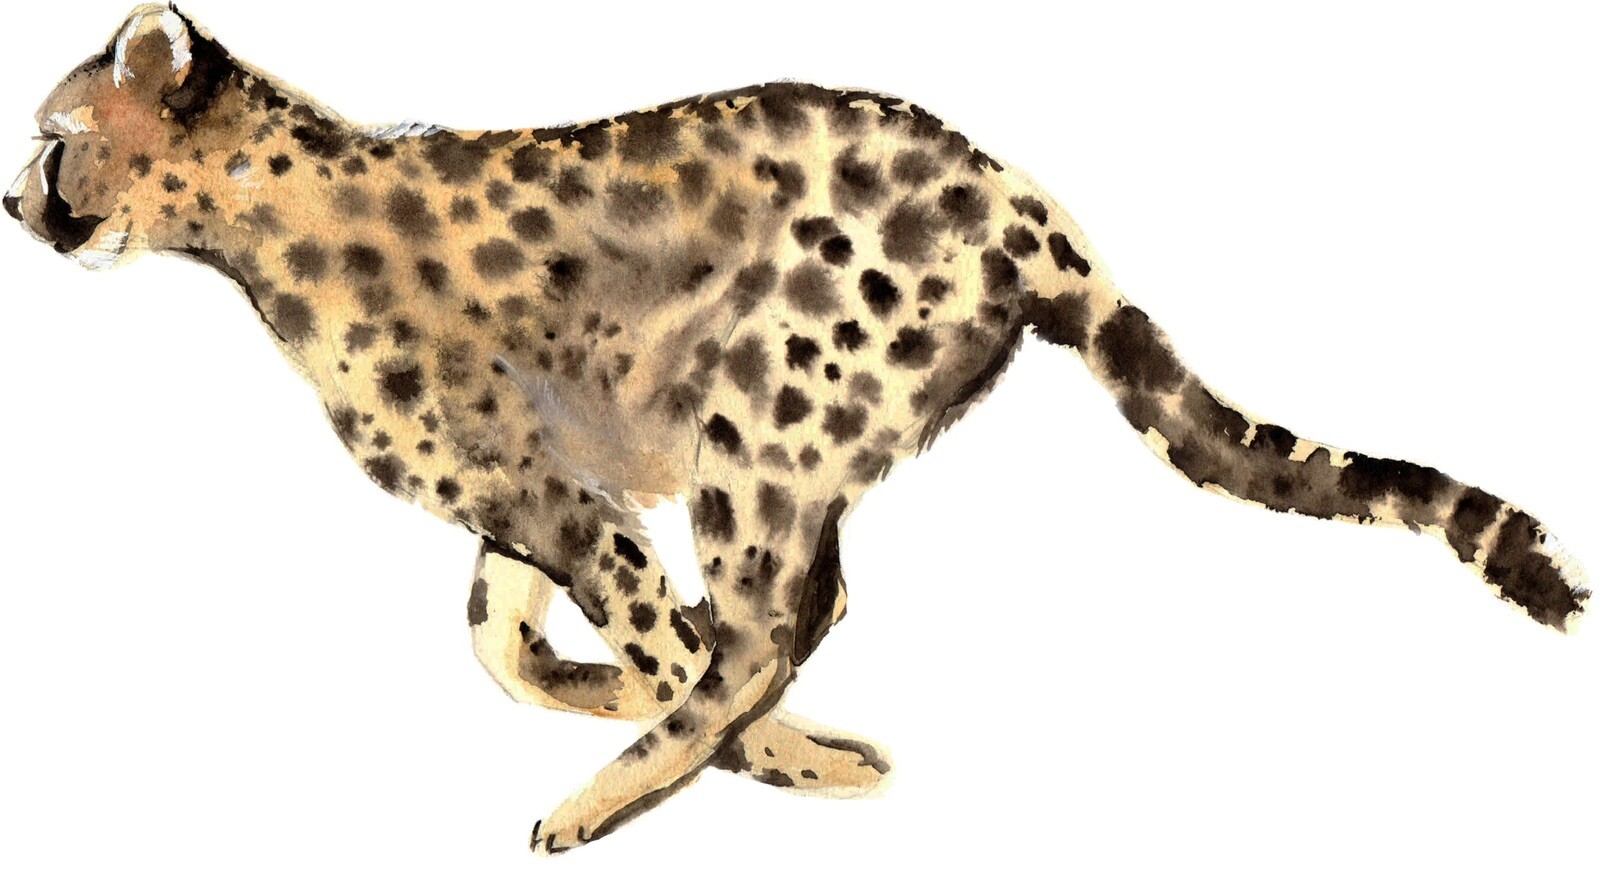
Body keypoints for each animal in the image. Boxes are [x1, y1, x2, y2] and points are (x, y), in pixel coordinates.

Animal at [6, 5, 1589, 854]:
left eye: (56, 134)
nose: (17, 200)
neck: (252, 226)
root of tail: (1017, 196)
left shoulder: (559, 494)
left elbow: (658, 642)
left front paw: (766, 754)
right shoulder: (532, 491)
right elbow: (503, 643)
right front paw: (615, 696)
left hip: (760, 417)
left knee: (779, 616)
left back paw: (628, 795)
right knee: (790, 609)